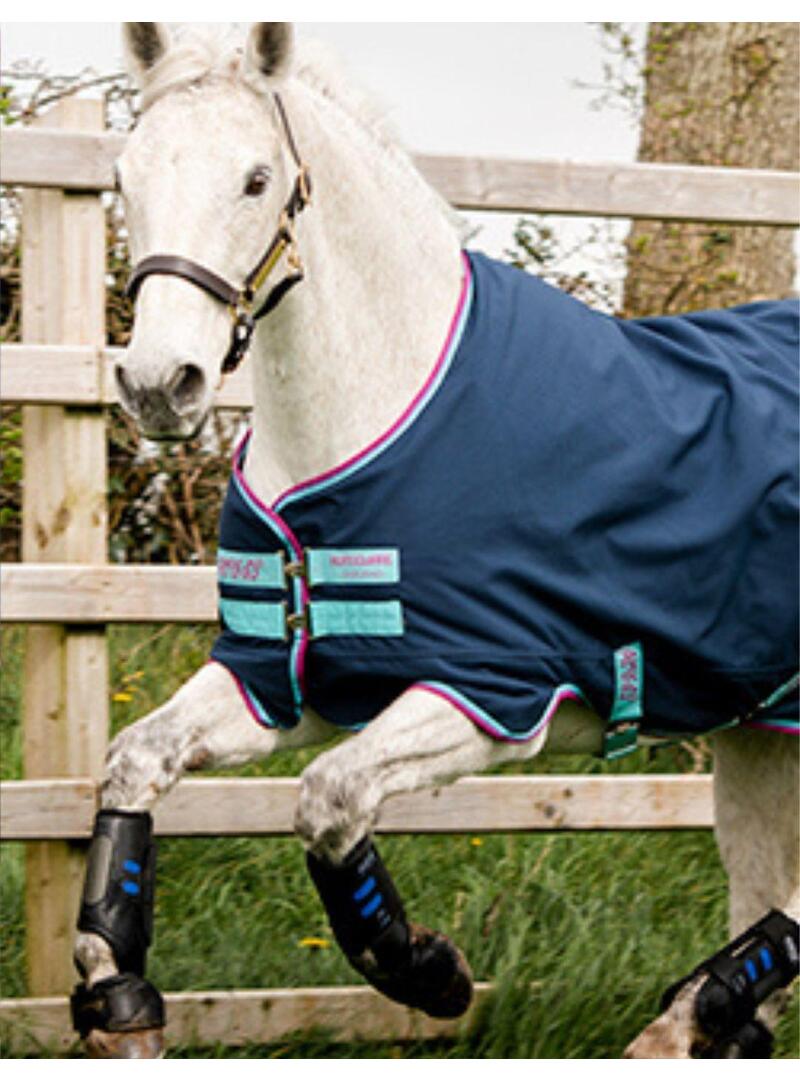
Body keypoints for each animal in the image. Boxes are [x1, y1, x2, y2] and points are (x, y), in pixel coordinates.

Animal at [70, 22, 799, 1059]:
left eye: (256, 178)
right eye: (125, 176)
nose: (159, 385)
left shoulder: (490, 693)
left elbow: (328, 801)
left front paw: (429, 970)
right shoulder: (276, 681)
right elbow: (134, 761)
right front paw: (118, 999)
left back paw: (692, 1013)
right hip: (759, 728)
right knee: (765, 880)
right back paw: (712, 1021)